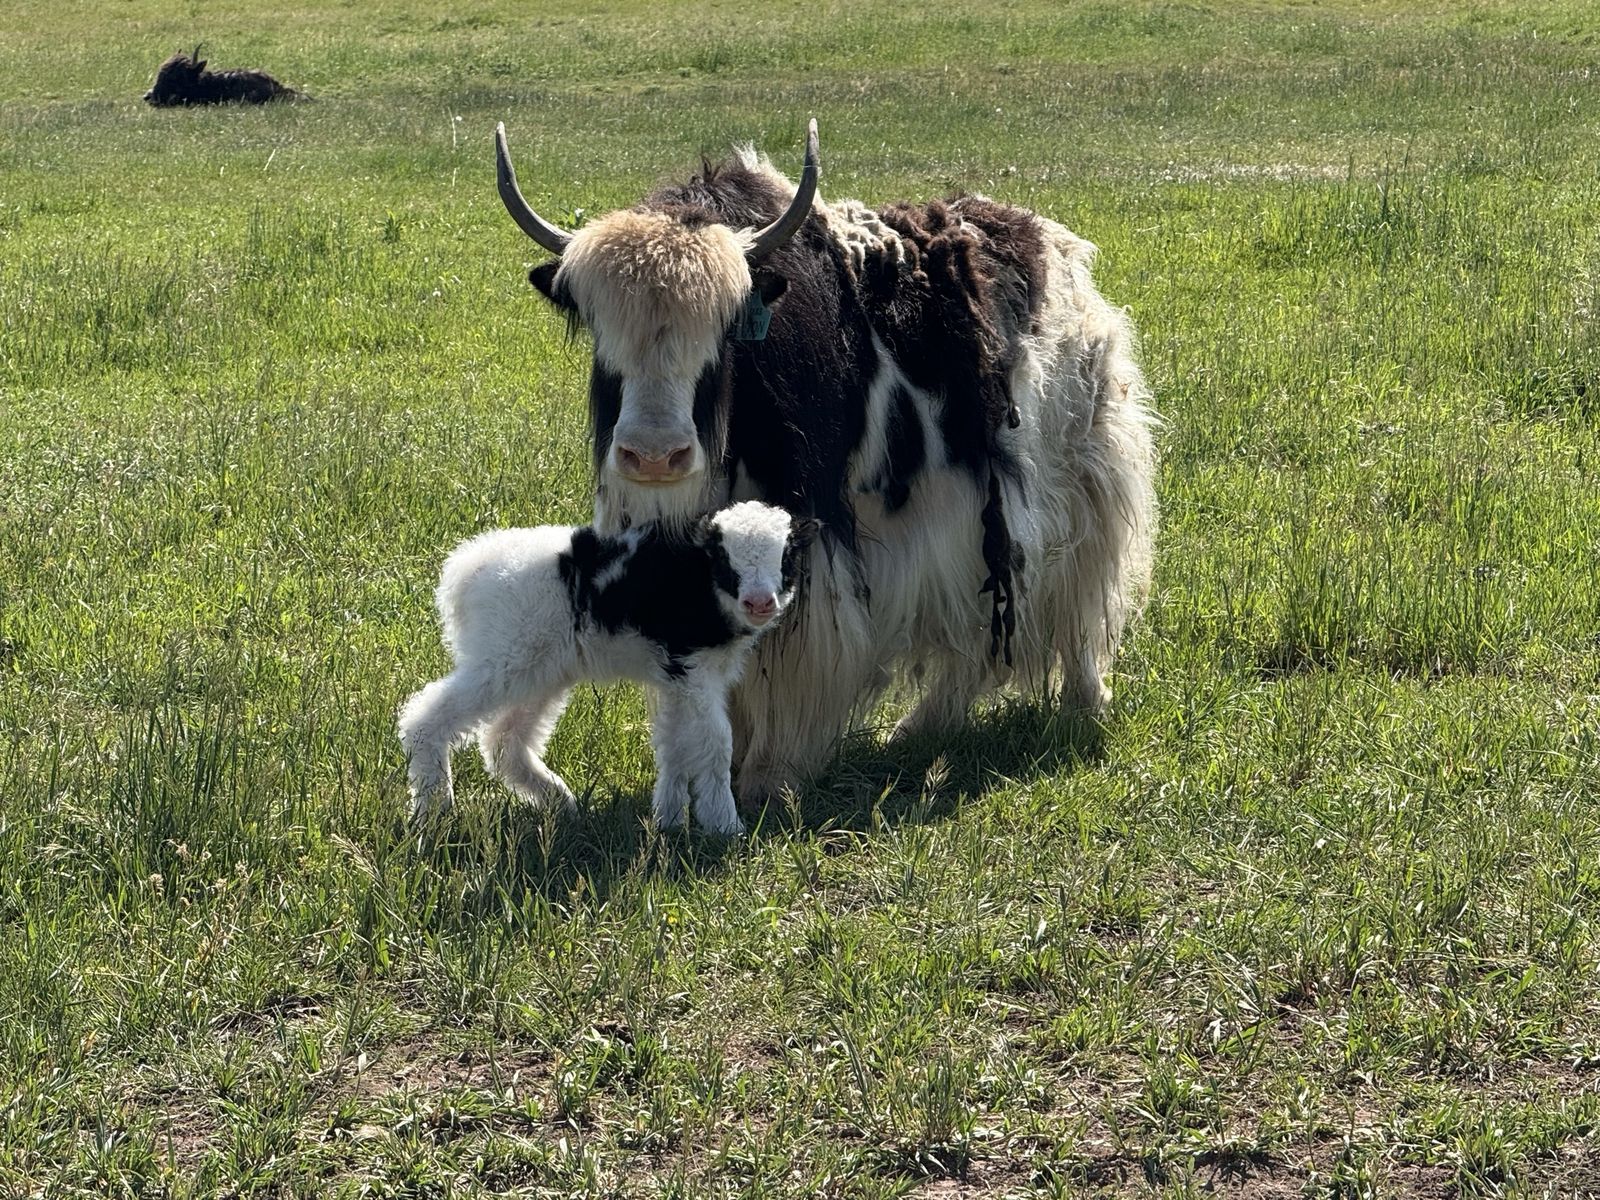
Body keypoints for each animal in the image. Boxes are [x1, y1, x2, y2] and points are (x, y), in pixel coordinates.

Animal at [493, 119, 1158, 802]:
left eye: (725, 333)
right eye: (600, 332)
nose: (654, 457)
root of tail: (1055, 247)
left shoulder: (808, 534)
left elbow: (795, 643)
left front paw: (768, 779)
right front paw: (724, 762)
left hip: (1081, 476)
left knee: (1081, 588)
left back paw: (1080, 704)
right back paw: (921, 729)